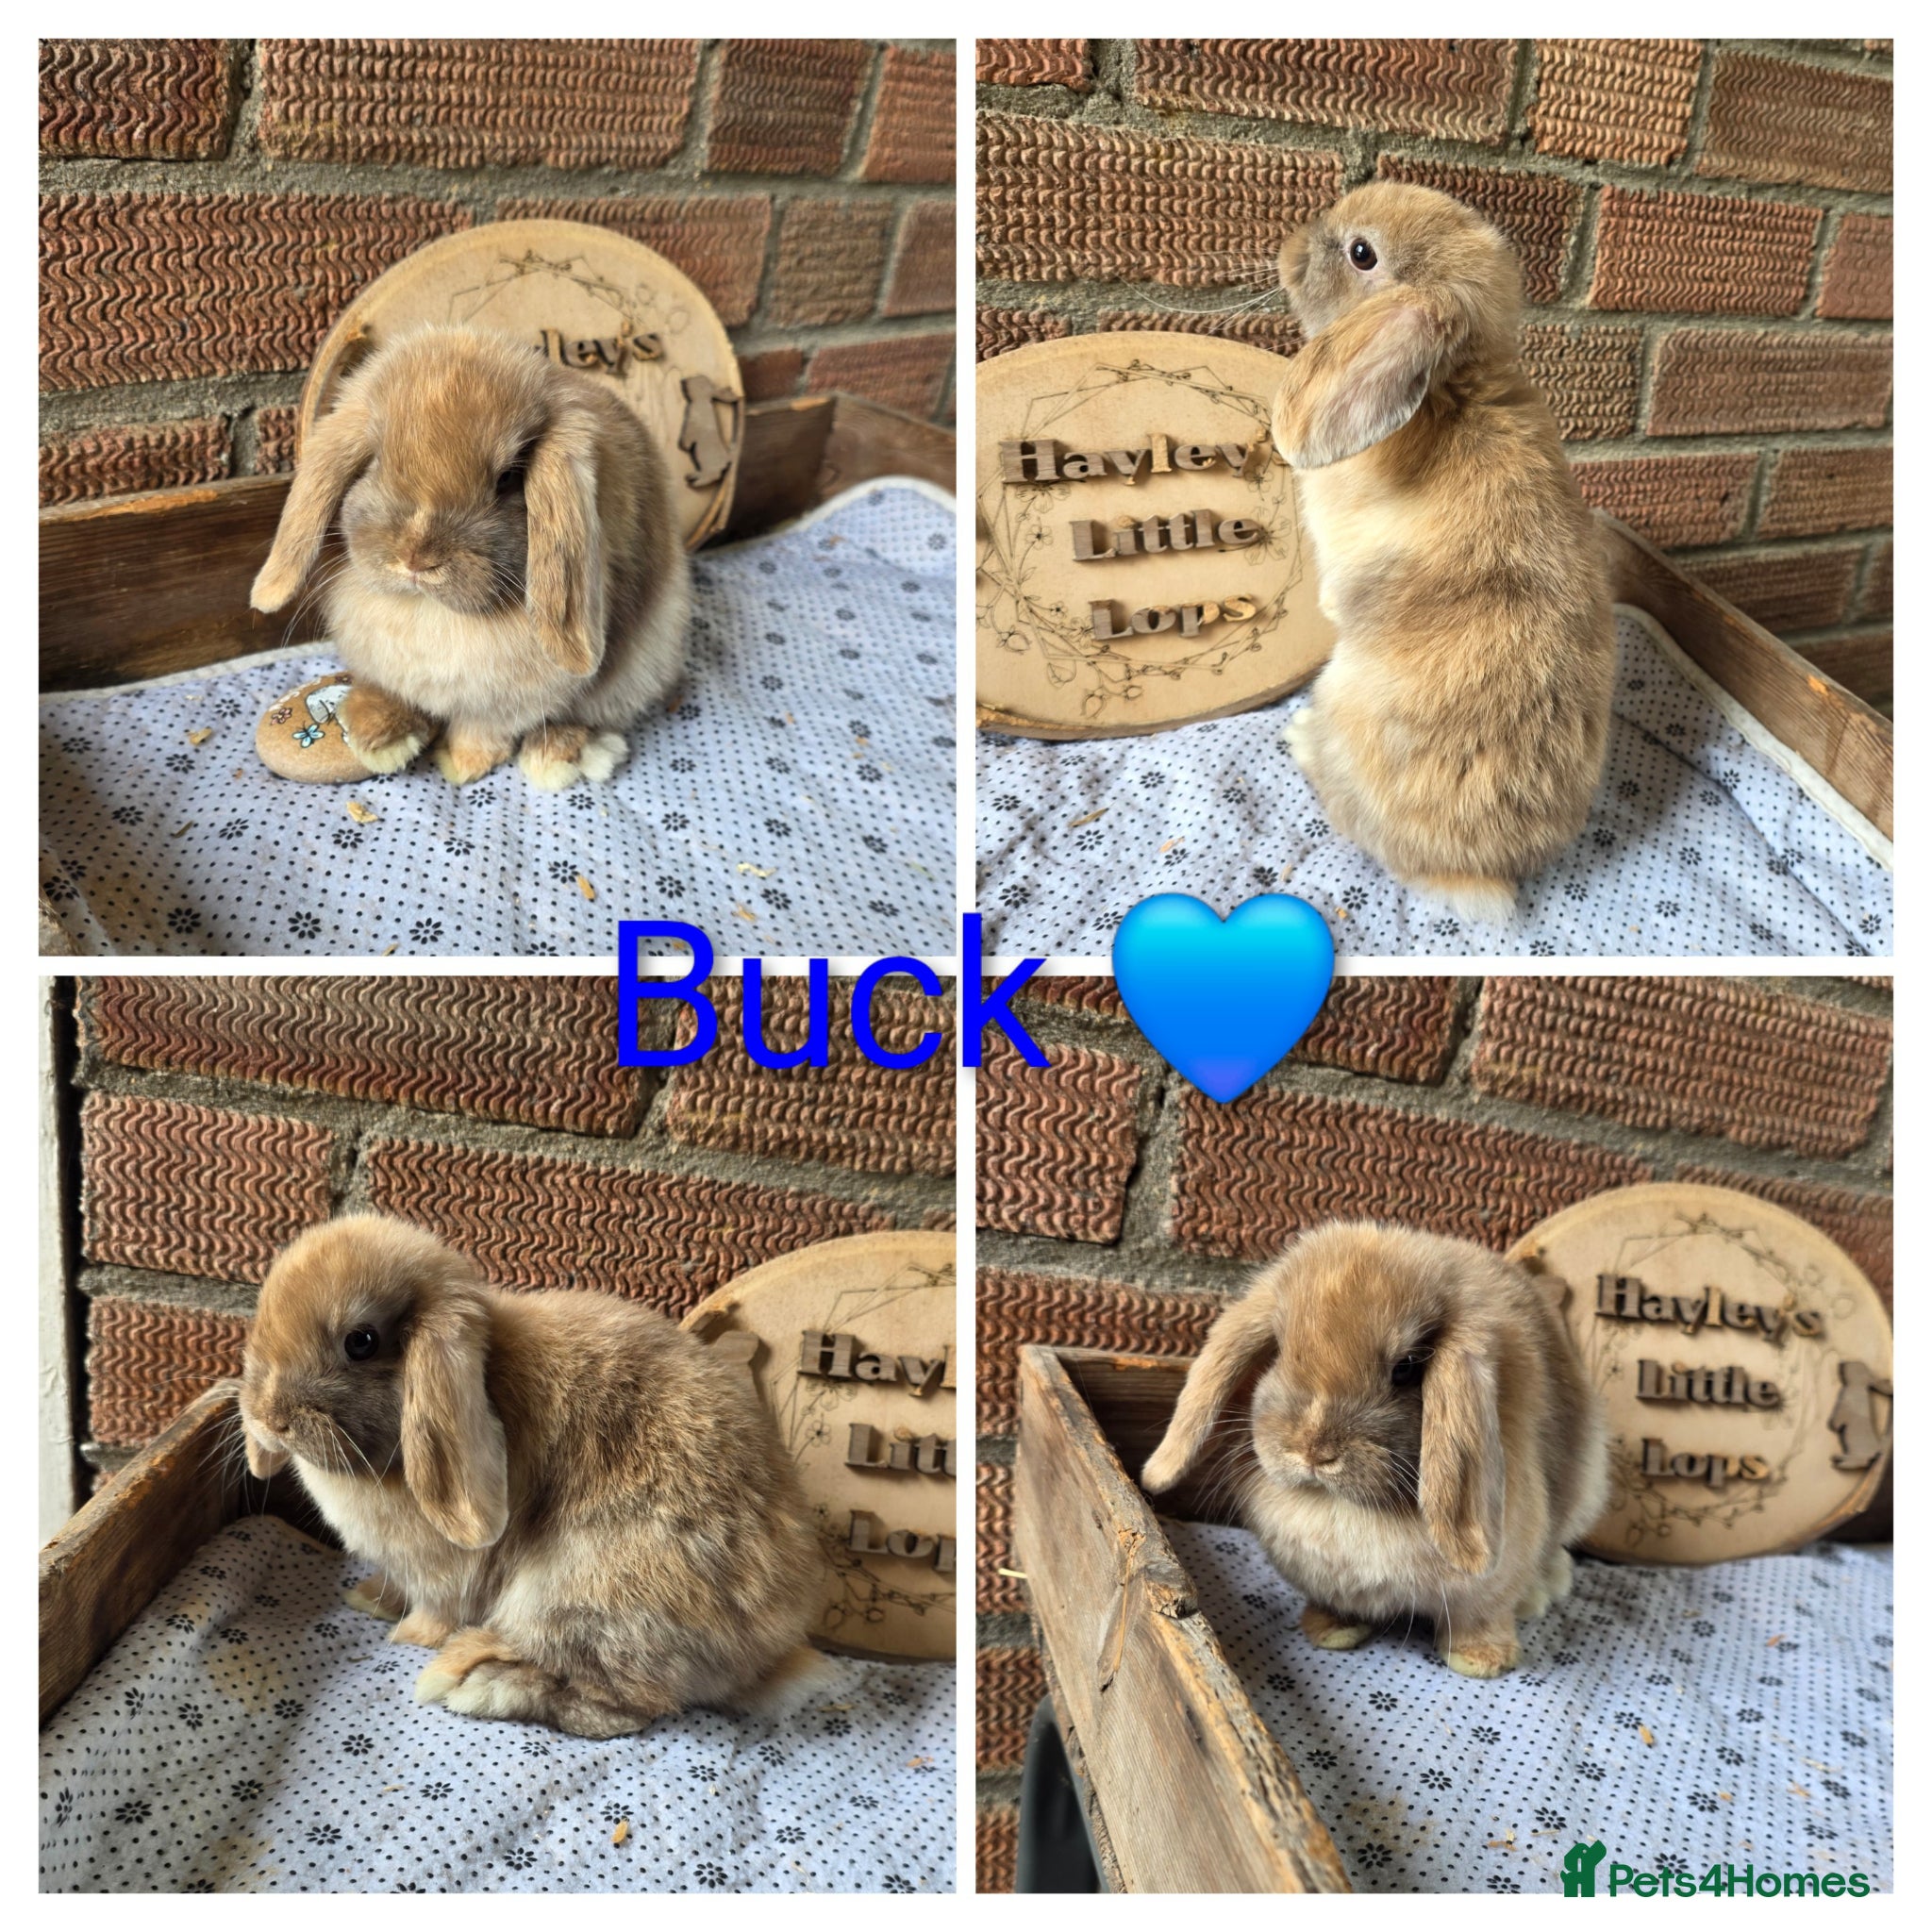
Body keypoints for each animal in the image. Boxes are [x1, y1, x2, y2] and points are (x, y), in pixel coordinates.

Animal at [237, 1214, 833, 1736]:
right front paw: (369, 1598)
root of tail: (768, 1653)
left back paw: (470, 1681)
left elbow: (436, 1613)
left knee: (625, 1705)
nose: (270, 1419)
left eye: (361, 1341)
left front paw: (406, 1637)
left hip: (591, 1591)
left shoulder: (443, 1580)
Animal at [250, 324, 690, 792]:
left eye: (508, 478)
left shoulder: (508, 699)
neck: (427, 611)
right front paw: (376, 733)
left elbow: (486, 728)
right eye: (374, 462)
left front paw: (461, 762)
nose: (416, 559)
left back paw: (554, 754)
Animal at [1142, 1222, 1609, 1679]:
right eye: (1280, 1351)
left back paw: (1541, 1592)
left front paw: (1481, 1661)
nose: (1313, 1451)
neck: (1344, 1508)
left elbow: (1481, 1618)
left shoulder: (1488, 1593)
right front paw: (1330, 1631)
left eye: (1406, 1368)